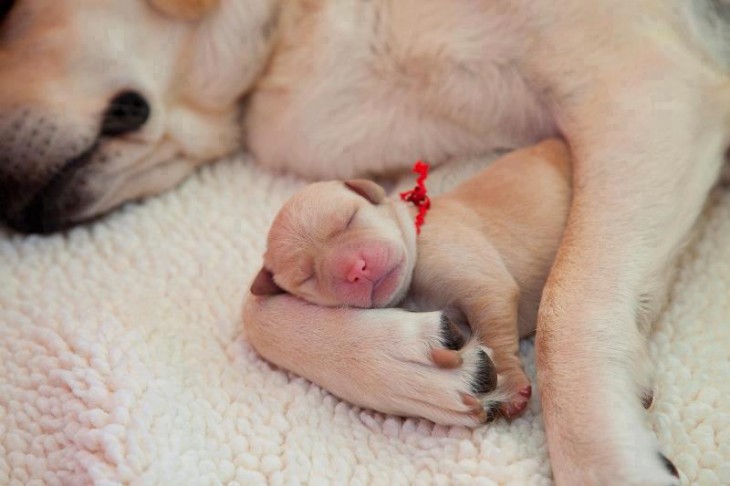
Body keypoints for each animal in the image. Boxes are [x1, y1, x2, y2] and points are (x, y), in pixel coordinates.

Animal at [249, 139, 568, 420]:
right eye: (307, 275)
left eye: (350, 218)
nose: (356, 268)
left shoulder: (477, 280)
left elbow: (493, 326)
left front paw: (510, 385)